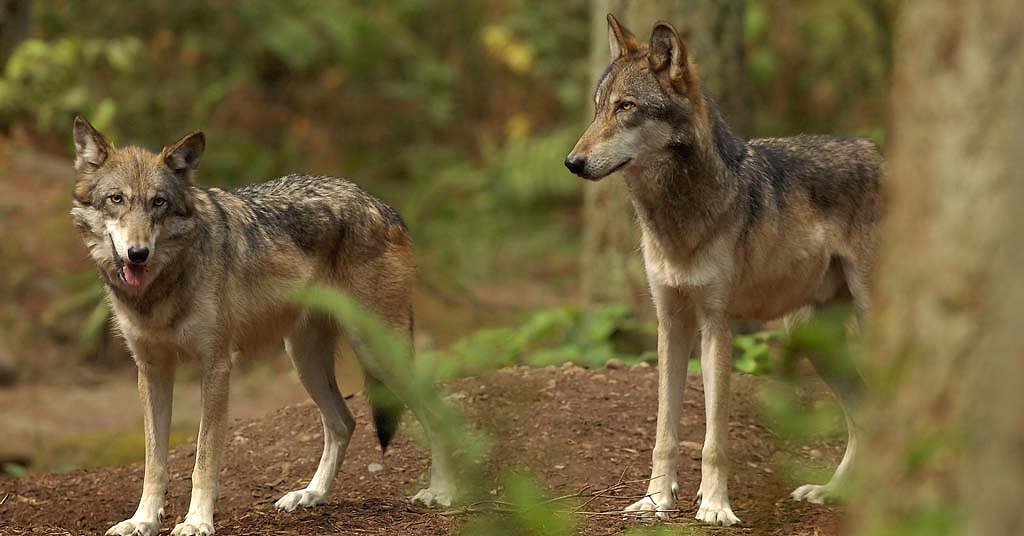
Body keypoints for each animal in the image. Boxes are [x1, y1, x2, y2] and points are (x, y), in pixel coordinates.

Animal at [70, 117, 456, 536]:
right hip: (305, 360)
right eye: (116, 200)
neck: (161, 287)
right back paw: (312, 495)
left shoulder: (217, 367)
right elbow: (154, 464)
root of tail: (383, 206)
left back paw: (442, 492)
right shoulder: (152, 369)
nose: (137, 253)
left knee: (439, 412)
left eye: (159, 203)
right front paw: (142, 521)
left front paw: (197, 522)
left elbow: (204, 460)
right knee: (344, 422)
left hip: (376, 352)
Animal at [565, 15, 881, 526]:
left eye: (626, 107)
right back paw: (833, 492)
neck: (678, 216)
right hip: (812, 336)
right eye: (597, 109)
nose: (572, 162)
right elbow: (664, 433)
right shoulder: (670, 322)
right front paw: (655, 501)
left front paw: (714, 507)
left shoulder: (716, 324)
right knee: (865, 414)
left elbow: (714, 441)